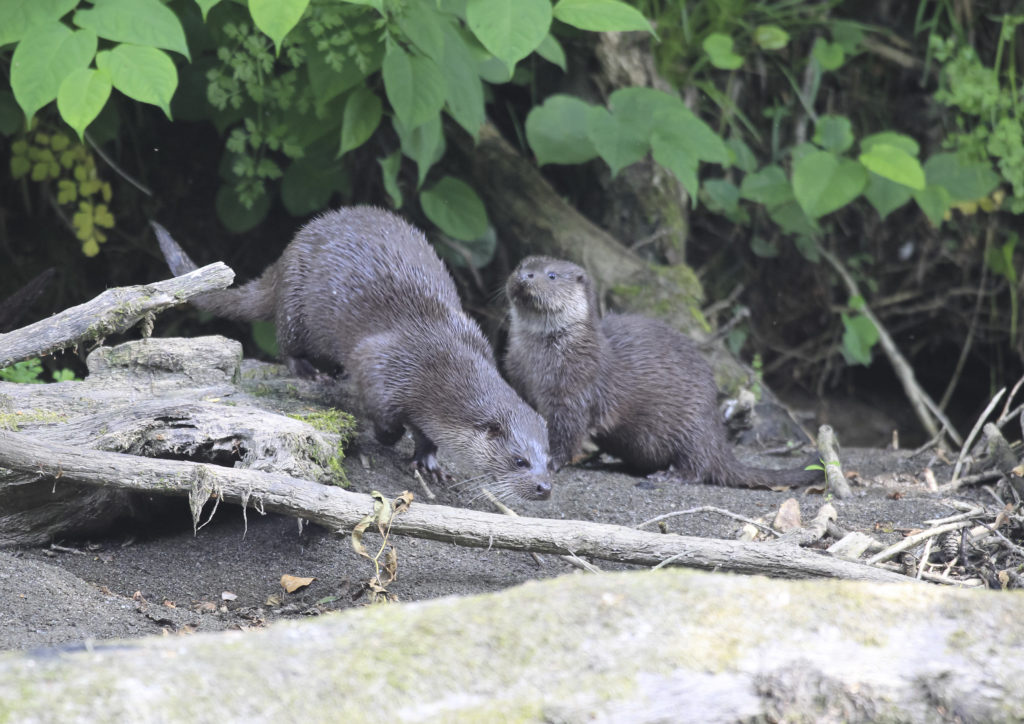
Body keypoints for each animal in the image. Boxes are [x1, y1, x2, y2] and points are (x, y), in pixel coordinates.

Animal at [152, 207, 552, 501]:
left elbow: (428, 436)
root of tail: (288, 253)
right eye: (519, 460)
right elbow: (387, 418)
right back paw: (310, 371)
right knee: (286, 344)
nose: (545, 487)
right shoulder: (381, 364)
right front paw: (389, 437)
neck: (439, 361)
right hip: (296, 305)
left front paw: (430, 462)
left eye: (550, 460)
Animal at [504, 256, 817, 488]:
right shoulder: (518, 376)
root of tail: (716, 430)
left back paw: (668, 475)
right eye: (521, 265)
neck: (539, 364)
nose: (526, 276)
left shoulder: (575, 388)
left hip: (691, 427)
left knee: (700, 465)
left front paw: (552, 462)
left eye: (552, 275)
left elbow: (566, 432)